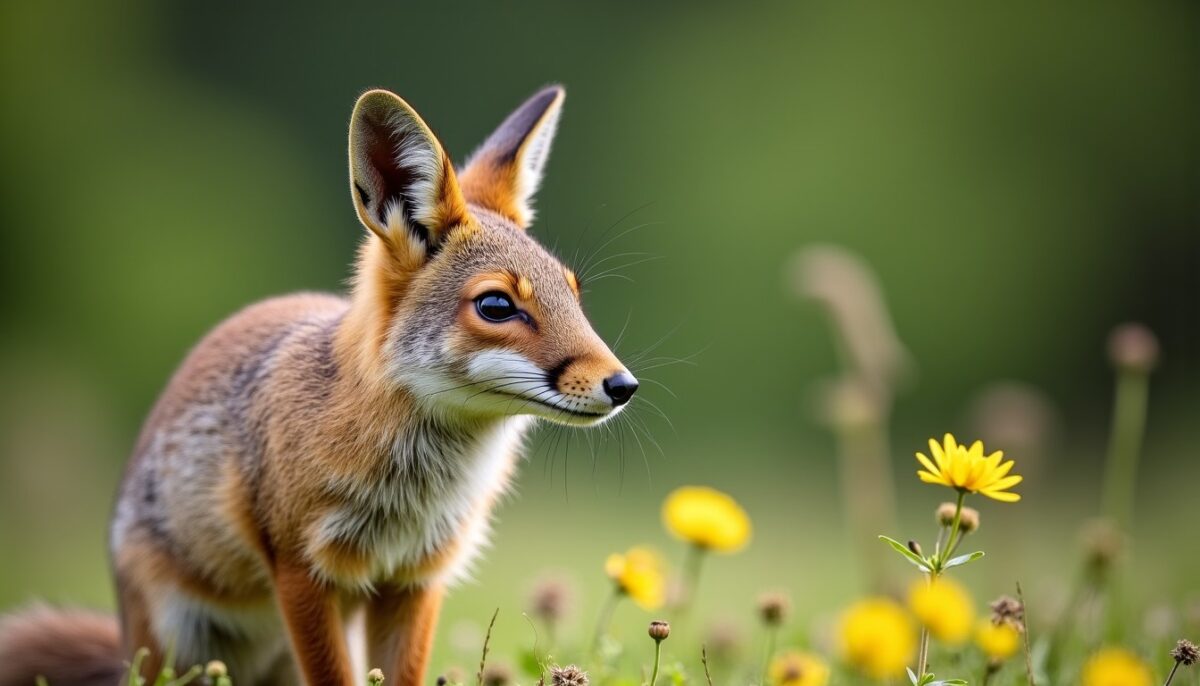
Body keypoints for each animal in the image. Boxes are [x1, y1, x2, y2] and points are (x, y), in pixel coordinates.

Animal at [0, 85, 639, 686]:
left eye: (573, 295)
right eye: (497, 306)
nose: (624, 385)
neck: (411, 487)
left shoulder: (415, 579)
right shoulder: (303, 571)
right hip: (179, 646)